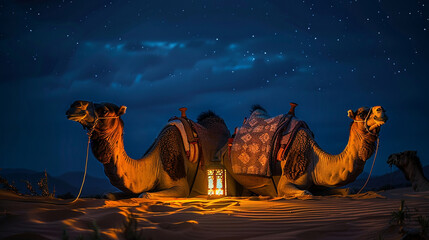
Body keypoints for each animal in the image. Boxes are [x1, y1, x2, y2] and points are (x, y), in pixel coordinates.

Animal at [66, 100, 234, 198]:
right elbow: (107, 195)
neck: (156, 162)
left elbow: (144, 195)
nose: (74, 105)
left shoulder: (182, 187)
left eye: (105, 111)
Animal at [221, 105, 388, 197]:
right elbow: (306, 193)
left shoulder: (318, 183)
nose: (382, 109)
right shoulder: (285, 183)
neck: (315, 159)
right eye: (361, 113)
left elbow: (348, 191)